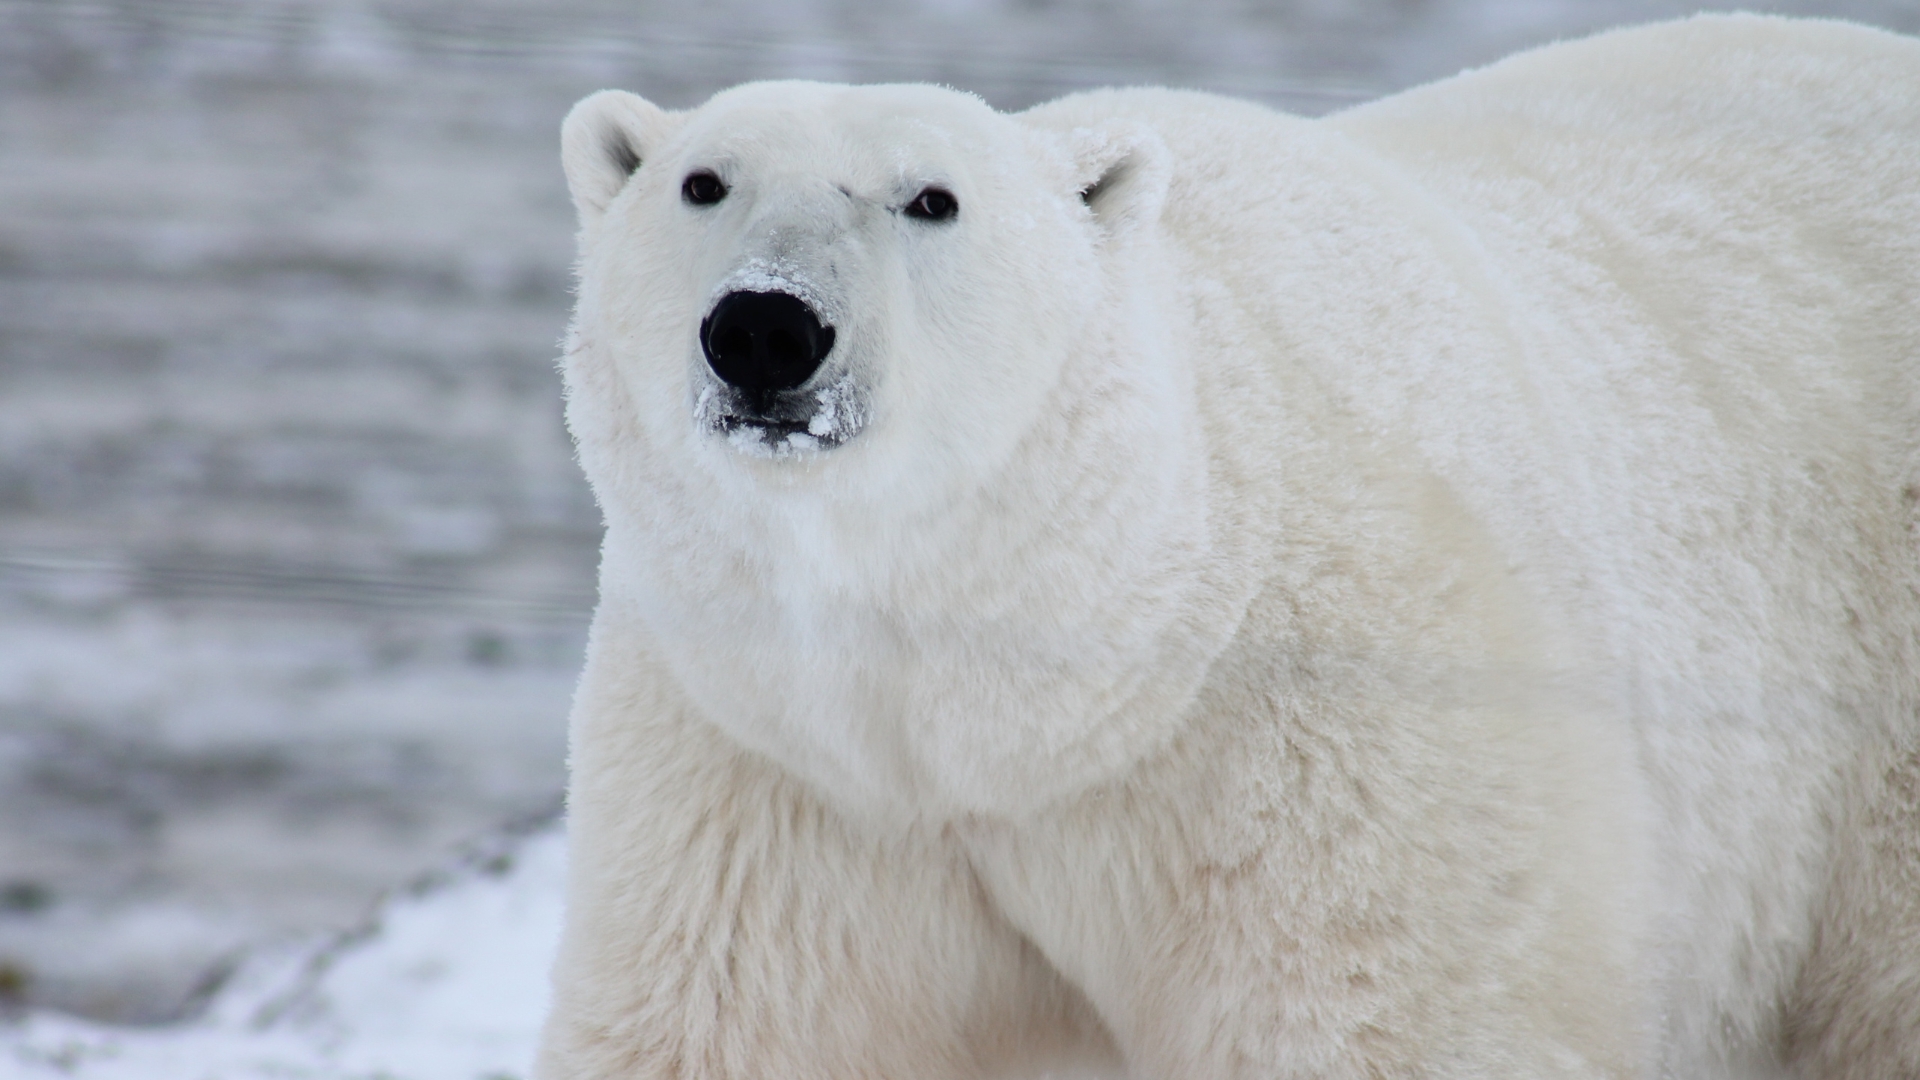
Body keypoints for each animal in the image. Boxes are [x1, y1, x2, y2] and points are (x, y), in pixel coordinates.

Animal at [533, 14, 1920, 1076]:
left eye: (932, 199)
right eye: (702, 182)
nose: (766, 329)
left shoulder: (1334, 738)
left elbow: (1383, 1020)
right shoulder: (774, 769)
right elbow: (730, 1024)